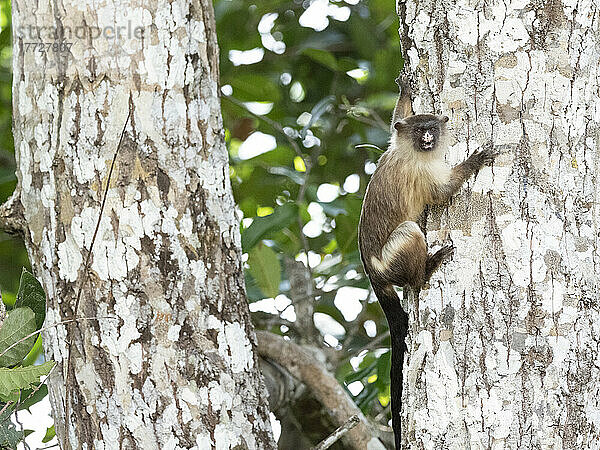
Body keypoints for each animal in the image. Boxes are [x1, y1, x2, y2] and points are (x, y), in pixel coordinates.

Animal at [358, 82, 494, 448]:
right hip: (393, 259)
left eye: (430, 127)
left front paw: (405, 87)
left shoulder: (394, 140)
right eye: (422, 132)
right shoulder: (422, 172)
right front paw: (475, 160)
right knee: (409, 239)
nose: (429, 138)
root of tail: (373, 275)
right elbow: (443, 191)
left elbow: (396, 119)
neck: (411, 153)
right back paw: (426, 269)